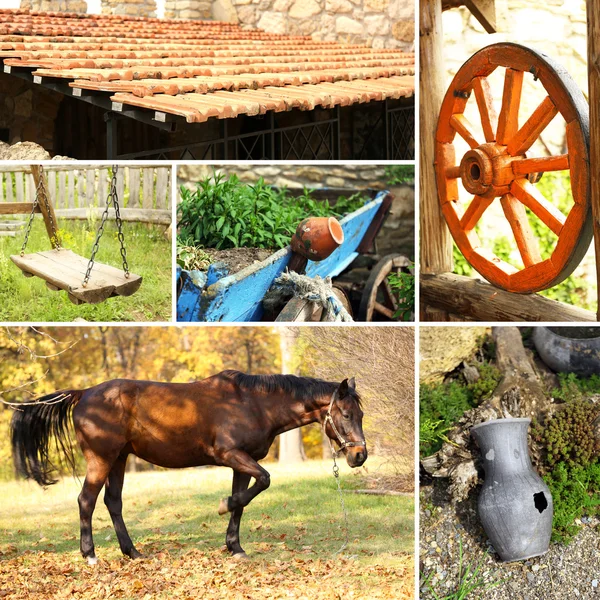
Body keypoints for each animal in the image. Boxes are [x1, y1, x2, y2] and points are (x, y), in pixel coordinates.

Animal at [10, 370, 366, 564]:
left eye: (360, 414)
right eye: (347, 414)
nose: (360, 455)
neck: (253, 403)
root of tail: (83, 393)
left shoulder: (241, 463)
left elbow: (244, 500)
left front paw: (235, 547)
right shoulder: (230, 454)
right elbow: (262, 482)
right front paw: (222, 507)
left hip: (119, 459)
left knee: (113, 502)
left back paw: (132, 552)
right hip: (102, 459)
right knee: (87, 500)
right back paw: (90, 555)